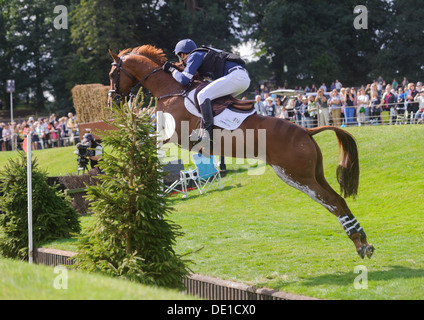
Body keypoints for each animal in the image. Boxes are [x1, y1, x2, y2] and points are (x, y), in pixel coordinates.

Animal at [107, 45, 374, 258]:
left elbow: (147, 137)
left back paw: (360, 244)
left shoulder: (174, 134)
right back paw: (362, 240)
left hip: (297, 176)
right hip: (310, 174)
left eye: (112, 74)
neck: (171, 89)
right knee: (337, 199)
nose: (113, 101)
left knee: (332, 202)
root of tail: (306, 131)